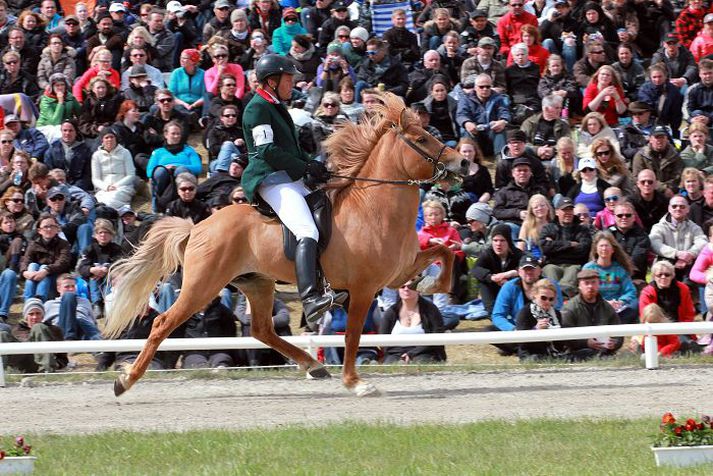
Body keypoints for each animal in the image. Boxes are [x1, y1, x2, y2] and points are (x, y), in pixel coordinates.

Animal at [103, 93, 464, 398]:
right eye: (421, 139)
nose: (462, 162)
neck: (373, 208)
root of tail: (198, 228)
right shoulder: (363, 289)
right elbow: (352, 335)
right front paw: (356, 383)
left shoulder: (397, 272)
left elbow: (443, 252)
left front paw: (433, 285)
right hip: (202, 285)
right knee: (163, 323)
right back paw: (125, 381)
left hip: (257, 283)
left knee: (262, 330)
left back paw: (313, 365)